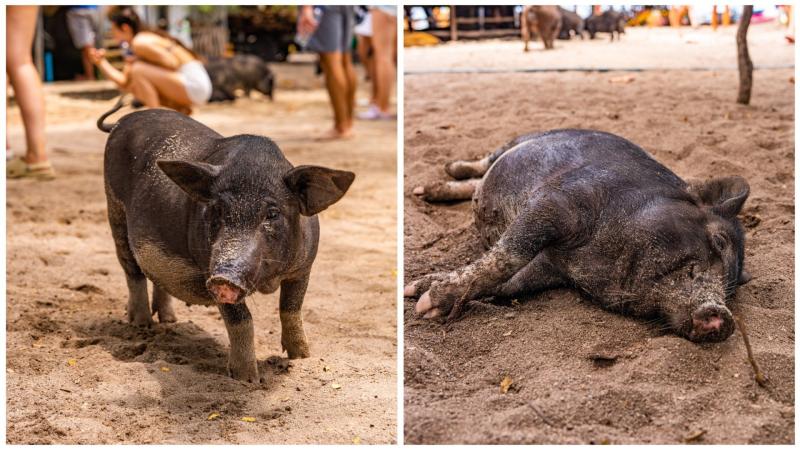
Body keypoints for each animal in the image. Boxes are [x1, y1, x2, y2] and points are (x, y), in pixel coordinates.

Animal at [97, 104, 354, 382]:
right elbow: (240, 319)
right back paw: (141, 325)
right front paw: (247, 379)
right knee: (131, 270)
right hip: (114, 209)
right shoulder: (207, 268)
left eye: (272, 213)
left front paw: (303, 357)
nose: (224, 277)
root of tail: (121, 122)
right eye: (217, 210)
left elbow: (291, 309)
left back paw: (169, 321)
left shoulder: (303, 268)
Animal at [406, 129, 751, 343]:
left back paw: (428, 189)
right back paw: (437, 176)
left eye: (730, 288)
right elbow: (509, 252)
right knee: (484, 161)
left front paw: (418, 292)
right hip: (523, 139)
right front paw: (423, 304)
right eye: (718, 241)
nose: (723, 318)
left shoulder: (551, 269)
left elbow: (508, 284)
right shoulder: (557, 202)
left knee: (476, 182)